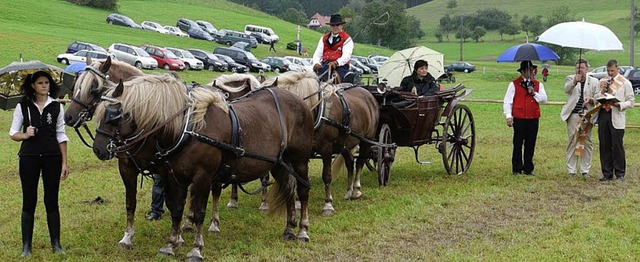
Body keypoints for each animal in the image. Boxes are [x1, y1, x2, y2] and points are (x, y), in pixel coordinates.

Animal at [92, 73, 316, 260]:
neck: (187, 129)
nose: (98, 149)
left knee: (303, 190)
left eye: (114, 115)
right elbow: (176, 209)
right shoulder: (173, 176)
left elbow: (199, 211)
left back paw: (303, 230)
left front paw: (196, 248)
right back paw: (289, 229)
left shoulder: (203, 177)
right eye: (99, 112)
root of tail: (299, 101)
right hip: (279, 163)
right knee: (288, 190)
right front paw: (171, 244)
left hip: (299, 160)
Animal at [262, 70, 380, 216]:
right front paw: (298, 203)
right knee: (350, 163)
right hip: (344, 145)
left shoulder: (326, 148)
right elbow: (299, 178)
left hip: (366, 140)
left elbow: (327, 176)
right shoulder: (301, 152)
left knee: (360, 162)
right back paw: (349, 191)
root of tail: (368, 94)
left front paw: (328, 205)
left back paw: (357, 191)